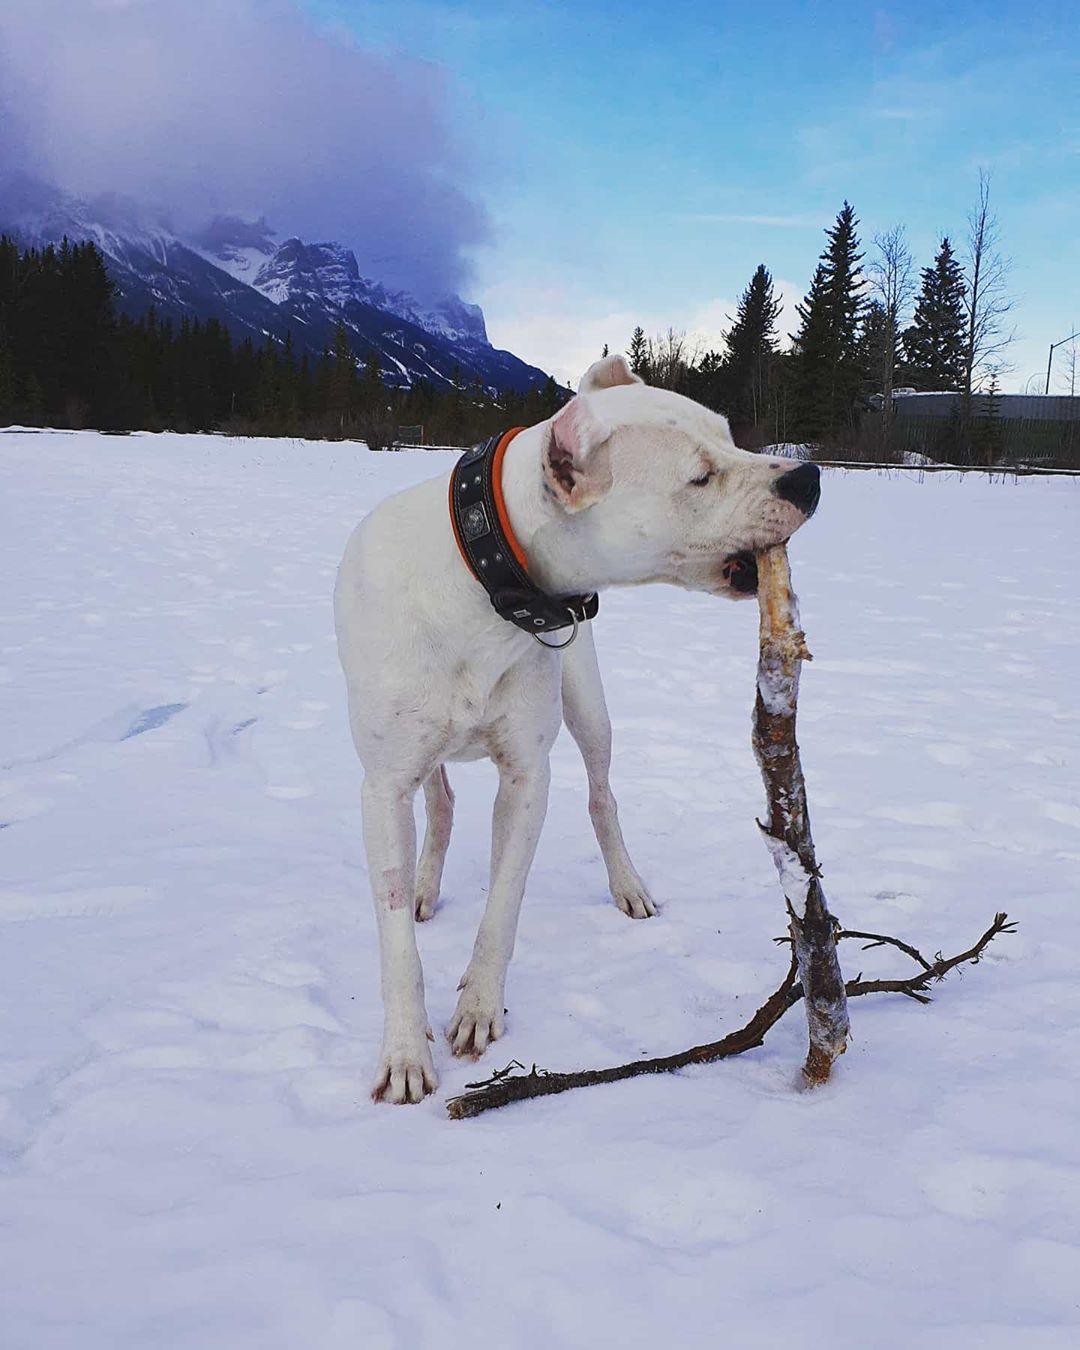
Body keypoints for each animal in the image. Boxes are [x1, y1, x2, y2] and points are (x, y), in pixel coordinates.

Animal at [334, 353, 820, 1101]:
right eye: (700, 475)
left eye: (730, 436)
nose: (808, 476)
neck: (484, 584)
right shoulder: (382, 787)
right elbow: (395, 943)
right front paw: (405, 1050)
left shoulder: (527, 776)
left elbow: (503, 905)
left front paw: (479, 1007)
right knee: (440, 803)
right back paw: (424, 883)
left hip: (589, 709)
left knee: (601, 796)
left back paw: (627, 884)